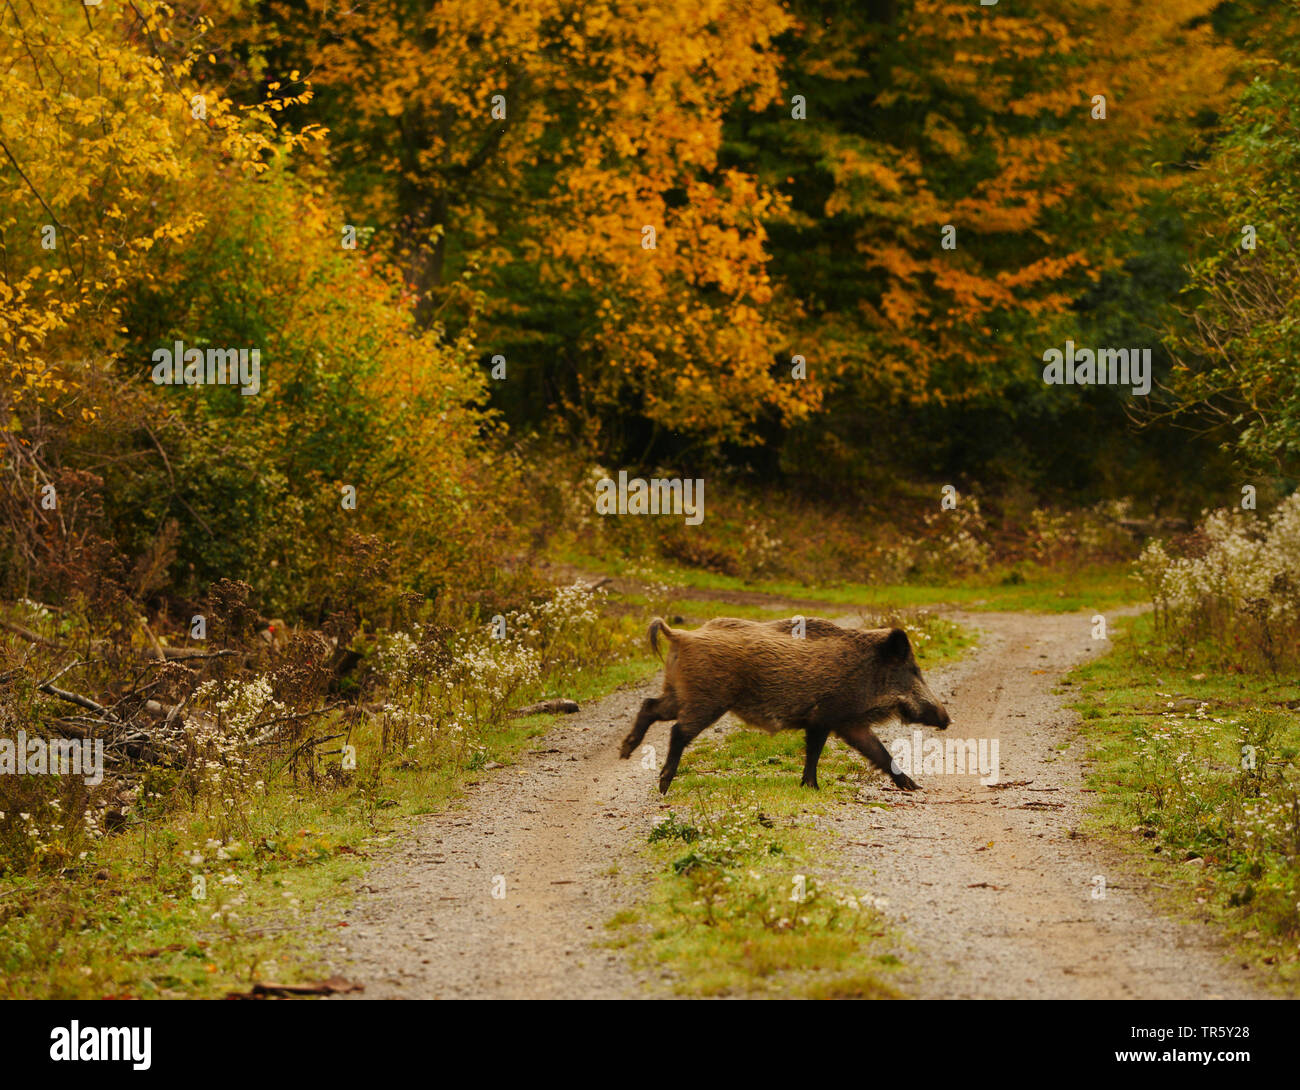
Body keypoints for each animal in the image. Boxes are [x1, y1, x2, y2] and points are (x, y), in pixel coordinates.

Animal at [618, 616, 950, 794]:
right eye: (913, 670)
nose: (947, 719)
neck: (865, 672)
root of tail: (681, 635)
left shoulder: (843, 722)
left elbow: (876, 752)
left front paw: (913, 786)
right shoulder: (829, 717)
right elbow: (821, 752)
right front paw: (813, 788)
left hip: (678, 692)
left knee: (649, 705)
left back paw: (625, 752)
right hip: (707, 700)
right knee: (678, 731)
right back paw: (663, 784)